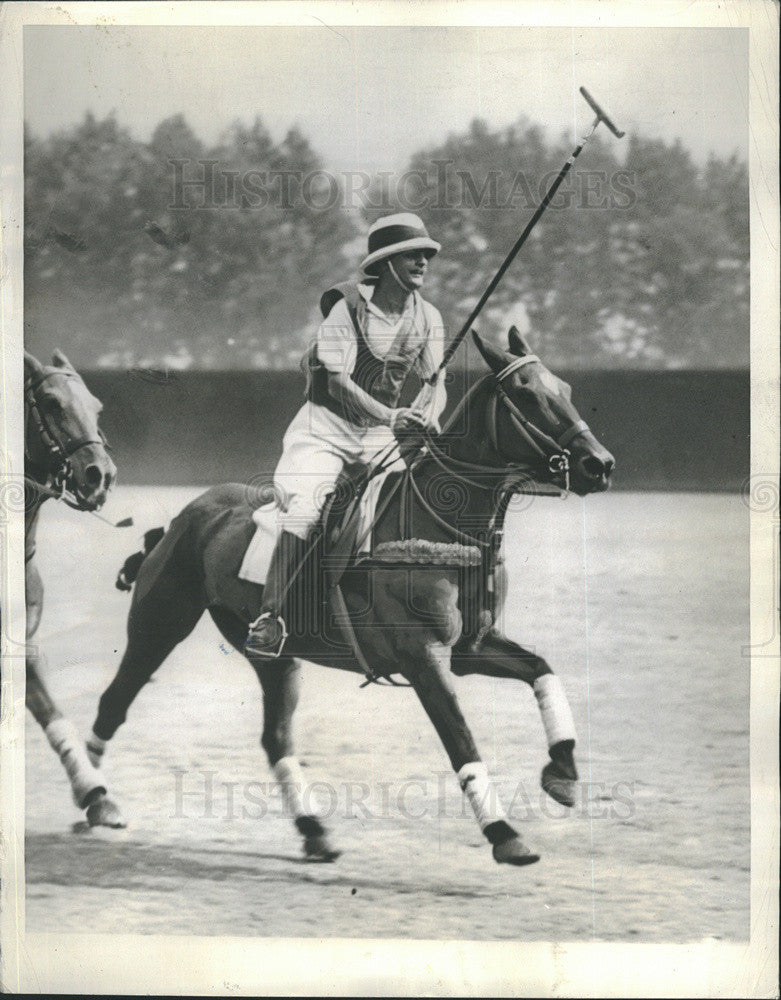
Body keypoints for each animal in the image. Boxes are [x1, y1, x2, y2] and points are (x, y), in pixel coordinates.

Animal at [84, 332, 608, 864]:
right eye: (526, 394)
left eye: (565, 388)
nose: (600, 465)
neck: (444, 522)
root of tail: (182, 516)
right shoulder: (423, 657)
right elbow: (461, 739)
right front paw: (505, 834)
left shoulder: (472, 647)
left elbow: (541, 669)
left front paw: (562, 772)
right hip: (159, 624)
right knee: (114, 703)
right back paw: (94, 799)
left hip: (276, 658)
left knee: (276, 737)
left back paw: (314, 830)